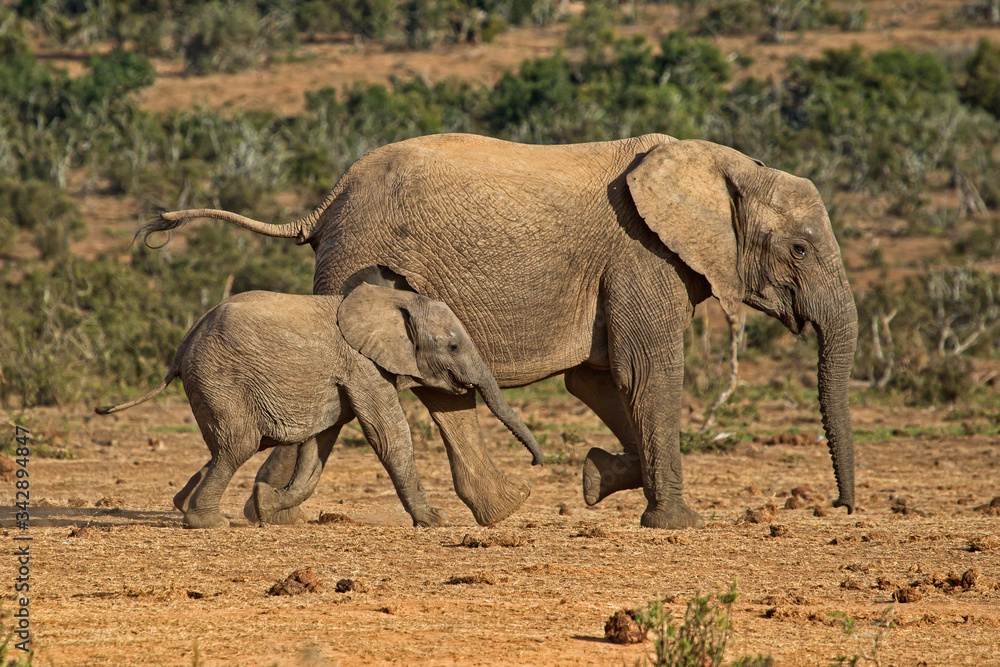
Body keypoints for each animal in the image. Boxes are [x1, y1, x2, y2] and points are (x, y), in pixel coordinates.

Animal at [94, 277, 543, 528]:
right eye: (452, 345)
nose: (536, 465)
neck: (392, 301)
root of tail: (182, 345)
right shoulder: (361, 365)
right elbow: (388, 435)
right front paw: (434, 521)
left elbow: (317, 447)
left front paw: (266, 506)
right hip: (219, 377)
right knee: (238, 445)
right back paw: (207, 523)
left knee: (230, 446)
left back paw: (184, 504)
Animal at [140, 133, 858, 529]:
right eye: (799, 249)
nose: (843, 507)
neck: (722, 164)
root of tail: (327, 202)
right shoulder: (640, 254)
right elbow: (643, 373)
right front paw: (675, 523)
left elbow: (597, 380)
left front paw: (596, 478)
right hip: (358, 255)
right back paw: (266, 510)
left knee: (435, 389)